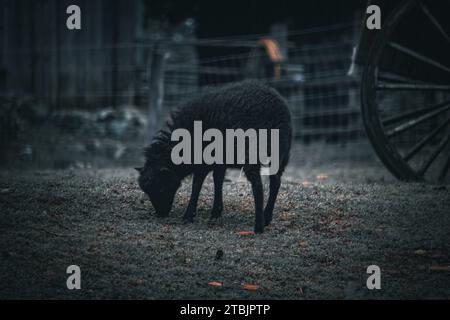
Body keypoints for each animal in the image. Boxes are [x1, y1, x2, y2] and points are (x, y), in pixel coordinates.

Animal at [137, 80, 292, 232]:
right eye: (147, 191)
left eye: (161, 187)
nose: (161, 214)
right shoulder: (219, 161)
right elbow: (218, 180)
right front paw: (216, 211)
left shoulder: (202, 160)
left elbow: (197, 184)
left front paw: (189, 215)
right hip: (280, 153)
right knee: (275, 182)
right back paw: (267, 217)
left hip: (251, 152)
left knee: (258, 186)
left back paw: (259, 226)